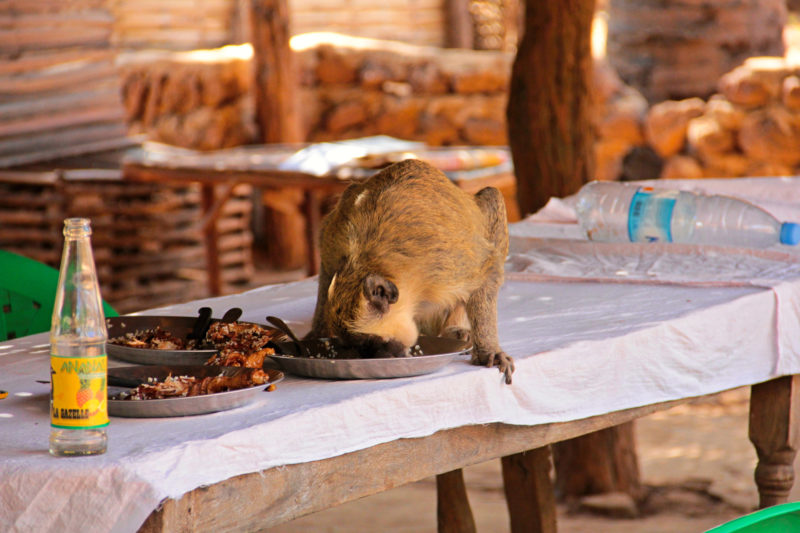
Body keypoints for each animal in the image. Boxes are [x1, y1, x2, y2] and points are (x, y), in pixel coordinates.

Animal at [306, 157, 512, 382]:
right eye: (355, 346)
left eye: (369, 343)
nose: (376, 359)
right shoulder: (335, 244)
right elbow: (326, 263)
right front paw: (317, 334)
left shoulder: (451, 264)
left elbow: (488, 270)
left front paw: (487, 350)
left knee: (492, 197)